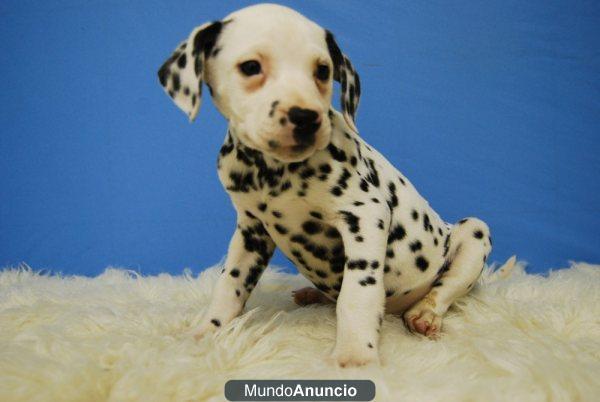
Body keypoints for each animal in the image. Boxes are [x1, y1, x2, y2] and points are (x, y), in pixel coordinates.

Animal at [158, 3, 492, 368]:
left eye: (321, 70)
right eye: (251, 67)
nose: (305, 117)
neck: (272, 171)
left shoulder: (365, 216)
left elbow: (357, 293)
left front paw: (355, 356)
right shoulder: (251, 231)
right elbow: (229, 285)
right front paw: (206, 331)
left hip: (474, 234)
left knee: (442, 290)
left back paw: (425, 315)